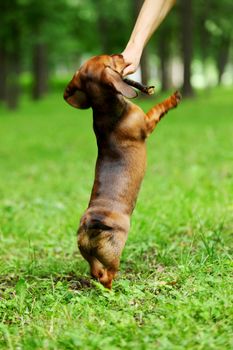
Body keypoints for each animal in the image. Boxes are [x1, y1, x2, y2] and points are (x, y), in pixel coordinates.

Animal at [64, 54, 182, 288]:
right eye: (112, 58)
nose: (122, 55)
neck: (105, 108)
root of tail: (91, 224)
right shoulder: (147, 123)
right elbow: (158, 109)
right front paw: (172, 99)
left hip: (87, 253)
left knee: (95, 271)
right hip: (114, 251)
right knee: (107, 275)